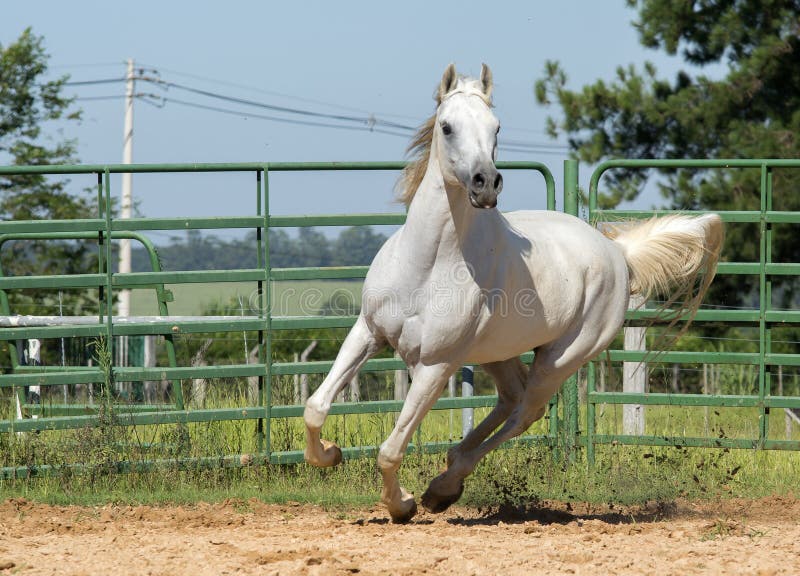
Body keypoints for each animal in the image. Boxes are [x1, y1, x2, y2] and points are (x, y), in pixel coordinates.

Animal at [302, 63, 724, 520]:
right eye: (447, 126)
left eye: (496, 127)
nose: (485, 183)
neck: (429, 263)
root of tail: (616, 251)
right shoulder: (369, 331)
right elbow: (315, 407)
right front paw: (330, 453)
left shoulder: (436, 364)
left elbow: (390, 449)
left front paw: (403, 505)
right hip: (498, 352)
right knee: (511, 398)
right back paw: (450, 471)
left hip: (560, 359)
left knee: (526, 411)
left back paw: (444, 485)